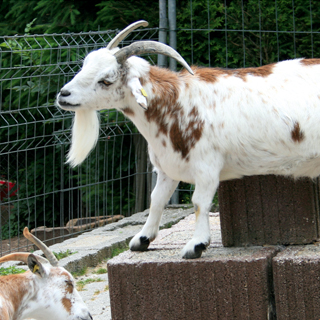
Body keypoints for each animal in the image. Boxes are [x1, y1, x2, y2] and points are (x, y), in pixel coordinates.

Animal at [55, 20, 320, 260]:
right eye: (85, 66)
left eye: (106, 80)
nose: (63, 95)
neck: (176, 102)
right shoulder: (167, 167)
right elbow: (156, 199)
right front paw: (142, 239)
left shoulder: (207, 165)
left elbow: (199, 202)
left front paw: (196, 245)